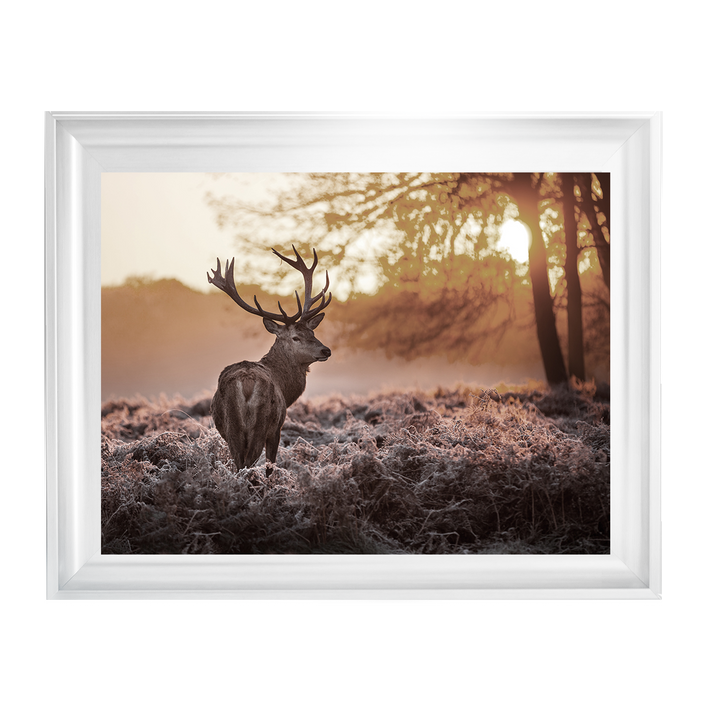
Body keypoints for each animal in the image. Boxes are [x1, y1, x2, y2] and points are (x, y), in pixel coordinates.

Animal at [207, 246, 332, 477]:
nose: (326, 350)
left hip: (232, 428)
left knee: (239, 465)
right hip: (261, 424)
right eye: (296, 337)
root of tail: (246, 383)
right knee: (248, 464)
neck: (285, 387)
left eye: (312, 332)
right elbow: (270, 466)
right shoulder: (277, 428)